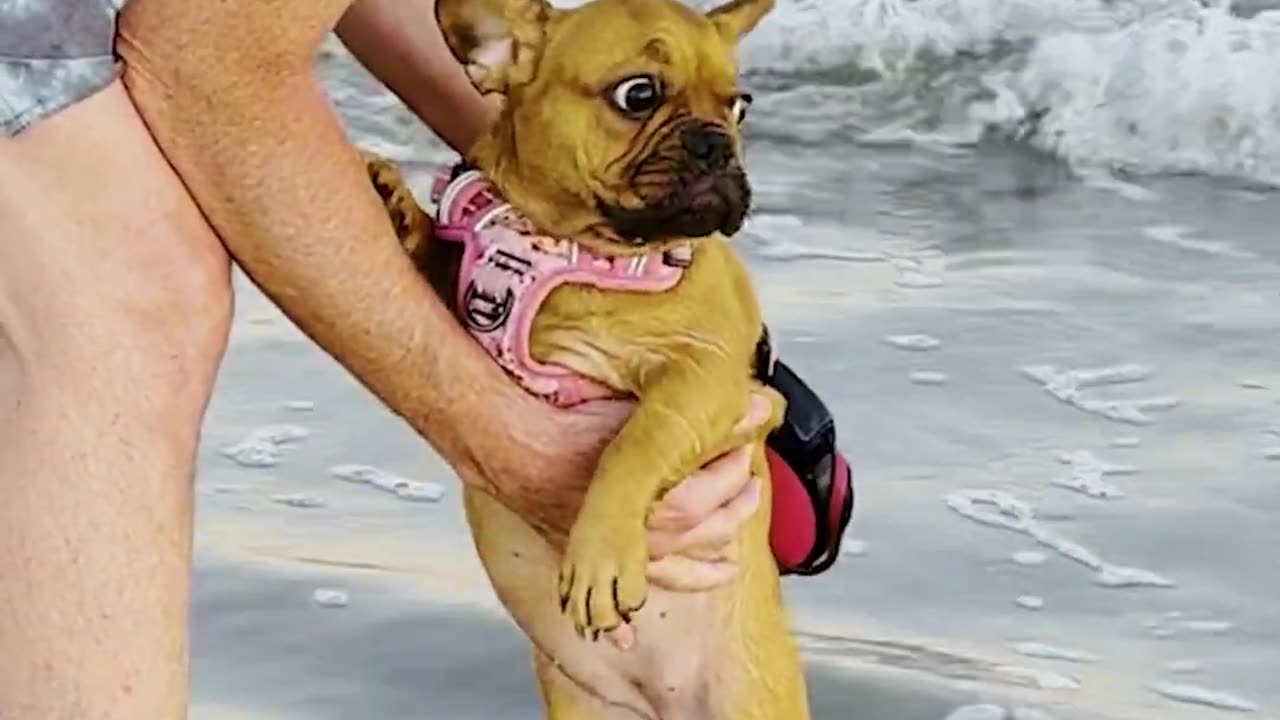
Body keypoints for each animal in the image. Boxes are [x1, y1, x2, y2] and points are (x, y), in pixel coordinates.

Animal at [358, 0, 808, 712]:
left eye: (740, 107)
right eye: (639, 94)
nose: (717, 139)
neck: (576, 250)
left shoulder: (705, 375)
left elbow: (639, 440)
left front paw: (601, 558)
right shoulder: (470, 312)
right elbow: (441, 263)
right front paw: (402, 212)